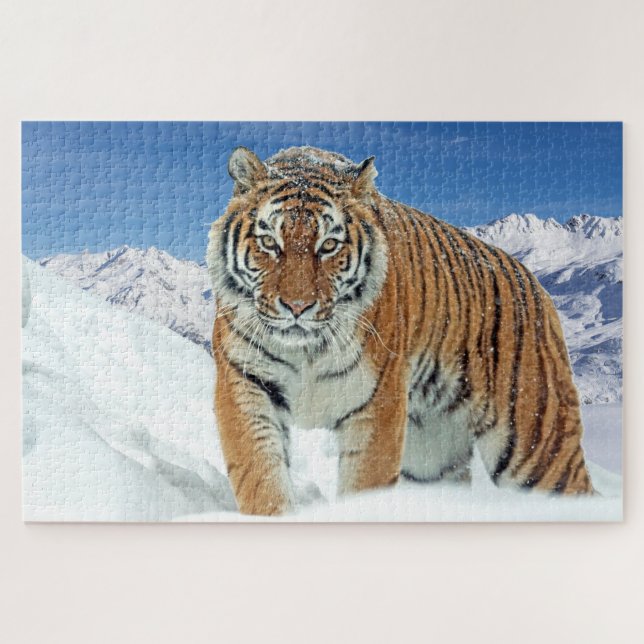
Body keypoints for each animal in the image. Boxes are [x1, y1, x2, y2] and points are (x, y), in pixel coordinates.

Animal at [206, 145, 593, 516]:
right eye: (270, 243)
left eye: (328, 245)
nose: (297, 306)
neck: (306, 351)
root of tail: (534, 282)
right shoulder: (246, 382)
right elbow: (260, 474)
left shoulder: (377, 402)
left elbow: (365, 484)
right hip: (431, 455)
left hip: (537, 444)